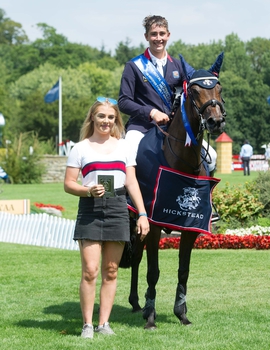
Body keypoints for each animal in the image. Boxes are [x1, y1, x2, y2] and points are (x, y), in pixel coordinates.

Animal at [126, 51, 226, 328]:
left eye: (219, 88)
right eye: (194, 91)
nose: (215, 121)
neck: (181, 160)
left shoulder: (191, 227)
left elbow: (184, 270)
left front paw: (181, 313)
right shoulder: (153, 225)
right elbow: (153, 270)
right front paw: (151, 316)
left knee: (136, 256)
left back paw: (136, 303)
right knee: (134, 257)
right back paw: (136, 304)